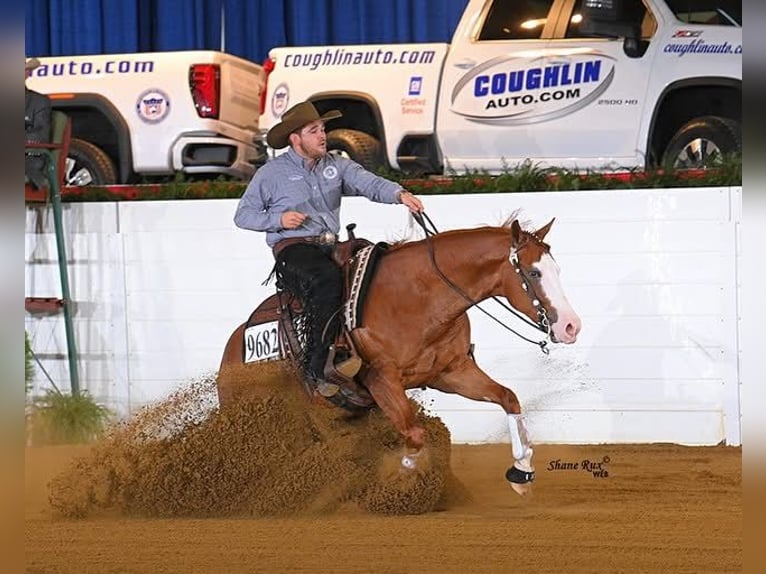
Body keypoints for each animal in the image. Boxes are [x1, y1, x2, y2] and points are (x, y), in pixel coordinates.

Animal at [217, 215, 581, 495]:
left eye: (557, 270)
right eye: (533, 273)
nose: (570, 326)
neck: (417, 297)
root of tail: (231, 351)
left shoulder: (452, 372)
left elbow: (508, 398)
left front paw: (521, 471)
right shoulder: (382, 380)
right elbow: (415, 434)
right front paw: (403, 479)